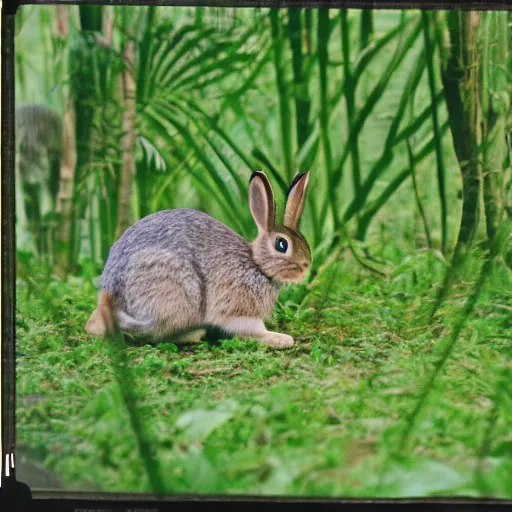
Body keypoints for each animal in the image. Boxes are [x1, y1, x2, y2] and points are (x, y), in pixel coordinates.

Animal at [84, 170, 312, 350]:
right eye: (282, 245)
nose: (306, 267)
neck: (257, 266)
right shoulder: (235, 309)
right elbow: (251, 330)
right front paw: (281, 339)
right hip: (177, 295)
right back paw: (194, 335)